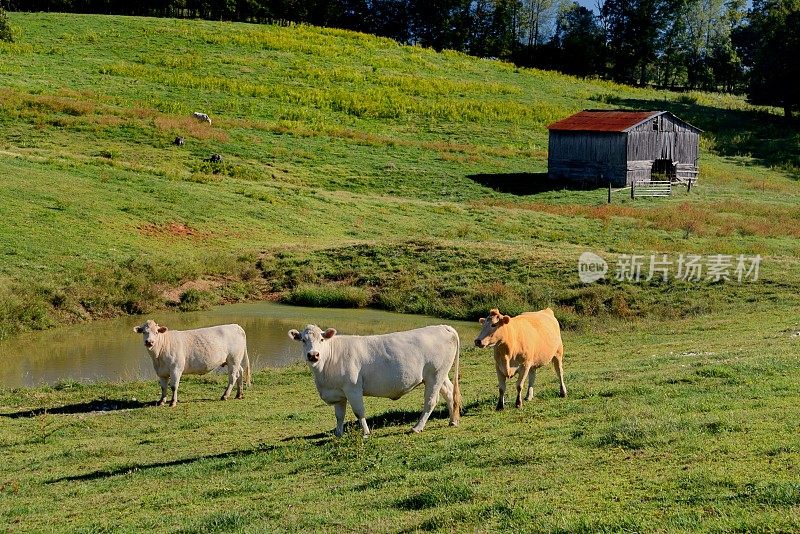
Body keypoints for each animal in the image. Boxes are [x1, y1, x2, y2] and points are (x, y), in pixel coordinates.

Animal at [288, 324, 462, 438]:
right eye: (303, 340)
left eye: (322, 339)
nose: (313, 355)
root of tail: (444, 327)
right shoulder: (339, 393)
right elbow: (339, 415)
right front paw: (338, 434)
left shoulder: (353, 388)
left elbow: (359, 411)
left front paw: (365, 433)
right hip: (440, 375)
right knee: (449, 392)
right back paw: (453, 421)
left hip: (435, 375)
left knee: (431, 400)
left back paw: (417, 427)